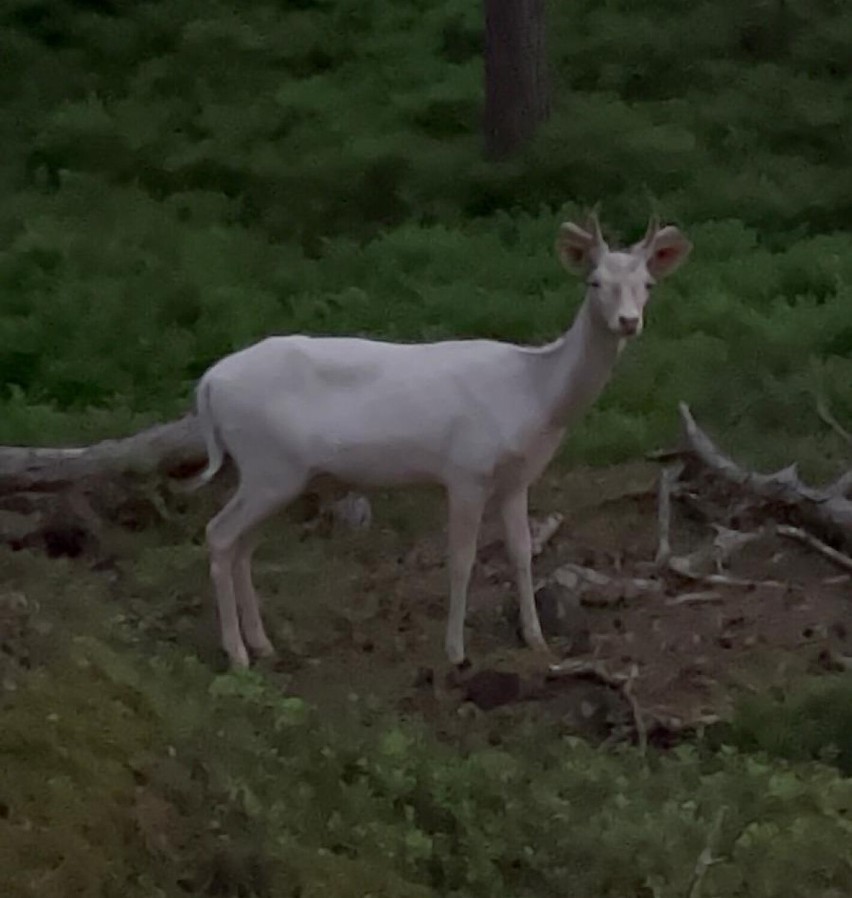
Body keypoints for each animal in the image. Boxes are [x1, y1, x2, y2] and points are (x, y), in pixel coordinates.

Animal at [190, 214, 688, 668]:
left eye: (647, 283)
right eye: (595, 281)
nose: (628, 321)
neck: (534, 396)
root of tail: (209, 383)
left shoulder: (517, 478)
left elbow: (523, 553)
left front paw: (536, 639)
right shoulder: (466, 469)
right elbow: (462, 559)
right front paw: (455, 652)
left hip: (277, 475)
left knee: (243, 545)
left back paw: (261, 643)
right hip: (268, 465)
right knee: (219, 534)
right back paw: (237, 653)